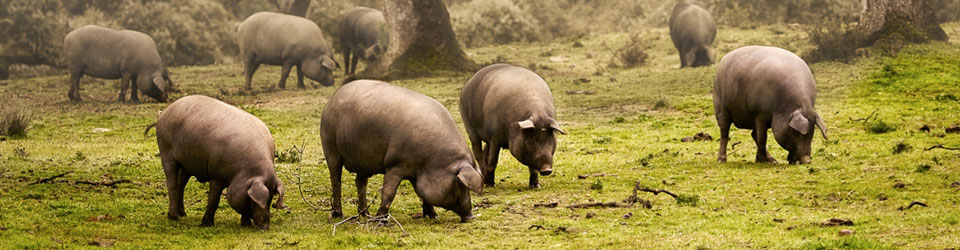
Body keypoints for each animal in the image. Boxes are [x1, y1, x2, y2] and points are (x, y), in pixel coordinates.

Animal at [155, 94, 284, 229]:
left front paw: (247, 225)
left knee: (181, 184)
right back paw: (174, 217)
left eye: (271, 199)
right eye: (256, 202)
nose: (265, 226)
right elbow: (213, 200)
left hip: (187, 163)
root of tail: (164, 112)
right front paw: (206, 224)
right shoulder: (217, 176)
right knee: (172, 184)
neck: (243, 170)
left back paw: (183, 214)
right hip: (166, 153)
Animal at [322, 79, 484, 222]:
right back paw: (338, 215)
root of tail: (333, 97)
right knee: (335, 179)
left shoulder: (415, 172)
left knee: (360, 182)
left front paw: (434, 216)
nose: (471, 217)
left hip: (362, 161)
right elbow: (389, 193)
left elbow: (423, 194)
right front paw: (380, 220)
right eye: (460, 183)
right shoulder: (396, 165)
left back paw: (365, 215)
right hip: (329, 145)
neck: (431, 161)